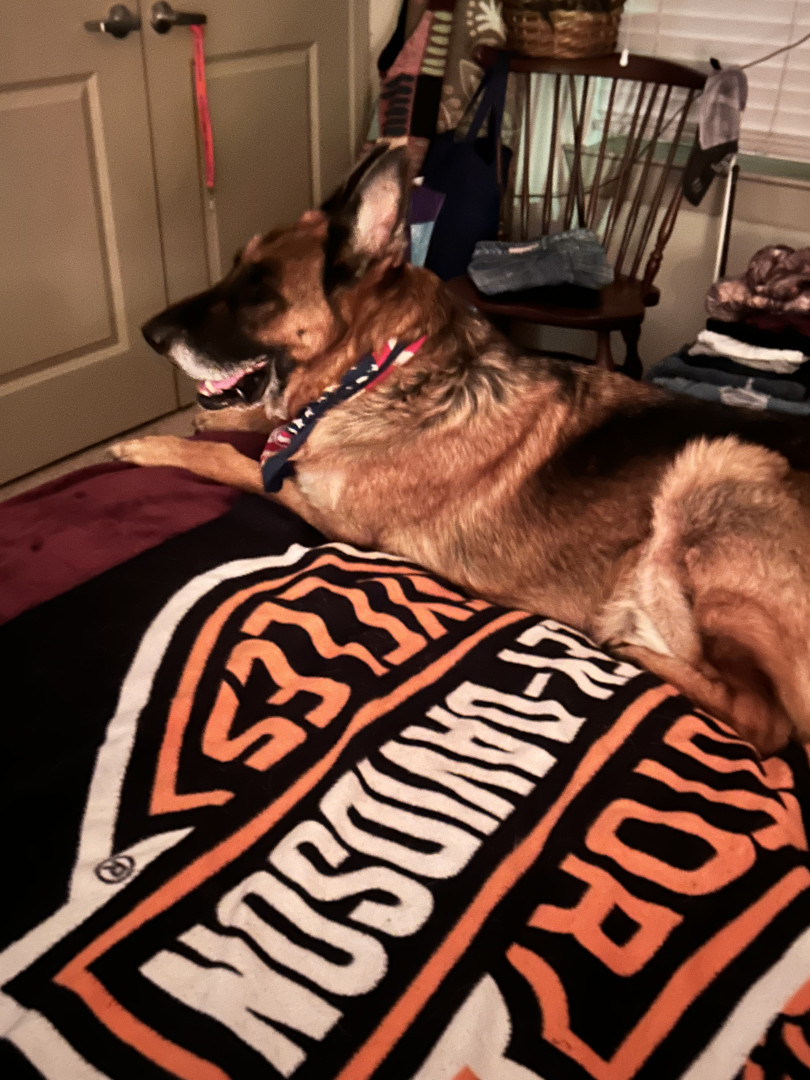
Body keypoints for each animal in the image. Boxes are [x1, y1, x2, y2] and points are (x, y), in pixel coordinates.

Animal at [113, 144, 810, 756]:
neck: (374, 370)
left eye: (259, 294)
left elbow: (241, 462)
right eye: (234, 268)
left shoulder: (333, 520)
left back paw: (632, 649)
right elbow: (254, 428)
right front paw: (220, 419)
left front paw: (150, 443)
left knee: (767, 725)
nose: (147, 334)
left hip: (716, 464)